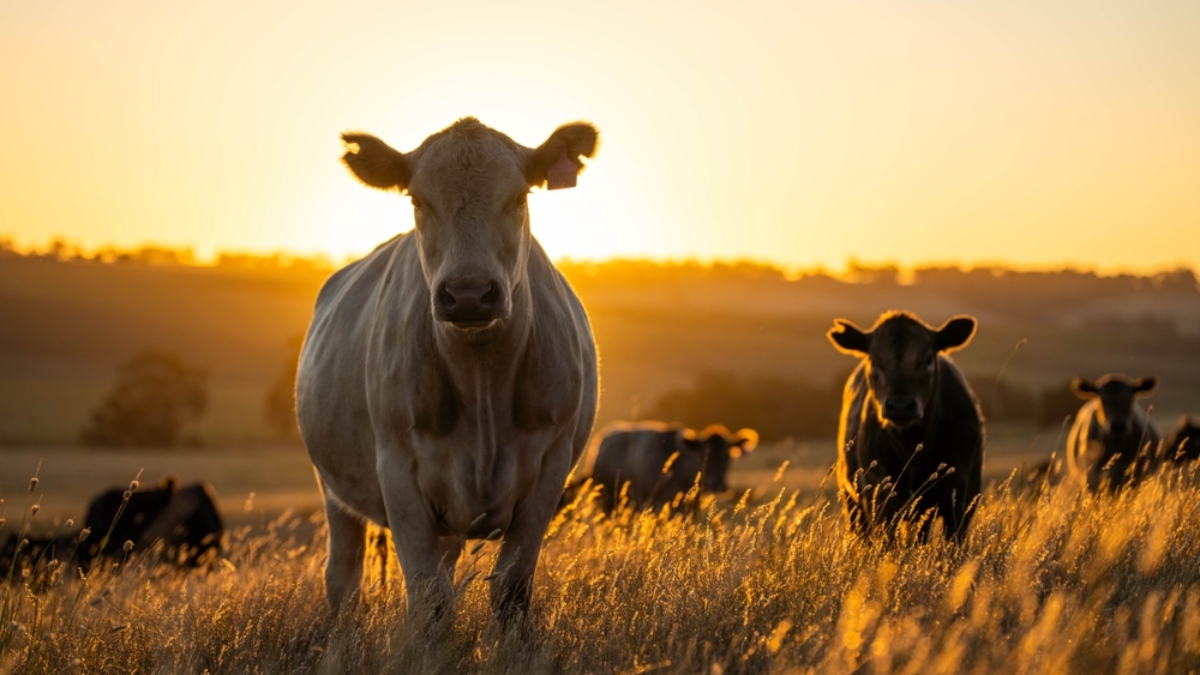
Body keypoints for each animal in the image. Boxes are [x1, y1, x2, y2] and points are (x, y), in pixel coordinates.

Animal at [296, 118, 600, 619]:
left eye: (519, 197)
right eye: (417, 200)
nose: (469, 294)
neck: (481, 380)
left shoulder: (549, 469)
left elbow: (510, 589)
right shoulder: (397, 472)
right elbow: (429, 597)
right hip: (334, 488)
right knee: (343, 576)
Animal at [827, 311, 984, 541]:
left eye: (928, 359)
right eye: (874, 361)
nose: (900, 406)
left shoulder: (963, 493)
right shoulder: (879, 492)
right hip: (853, 499)